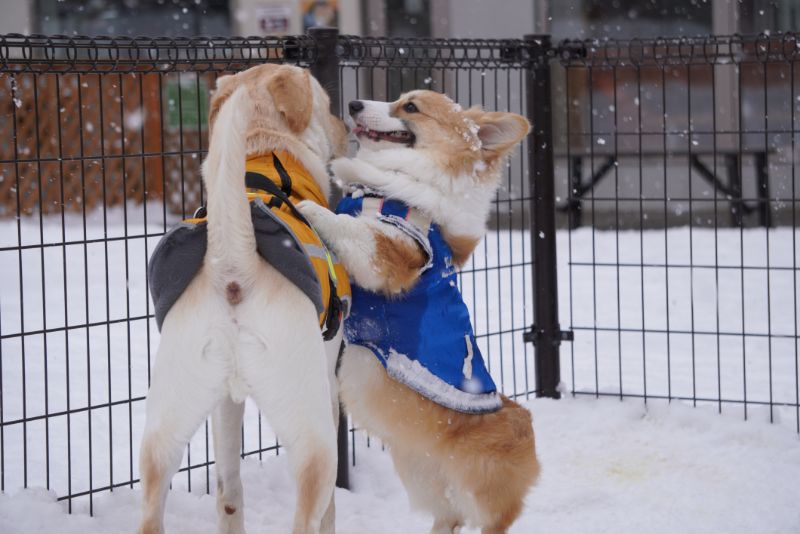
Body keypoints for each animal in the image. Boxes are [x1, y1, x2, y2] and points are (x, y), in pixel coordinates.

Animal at [137, 66, 346, 534]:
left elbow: (228, 482)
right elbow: (329, 511)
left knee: (199, 493)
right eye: (326, 104)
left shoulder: (224, 404)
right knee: (308, 508)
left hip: (165, 424)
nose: (345, 128)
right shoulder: (330, 383)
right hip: (313, 434)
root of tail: (234, 263)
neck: (263, 148)